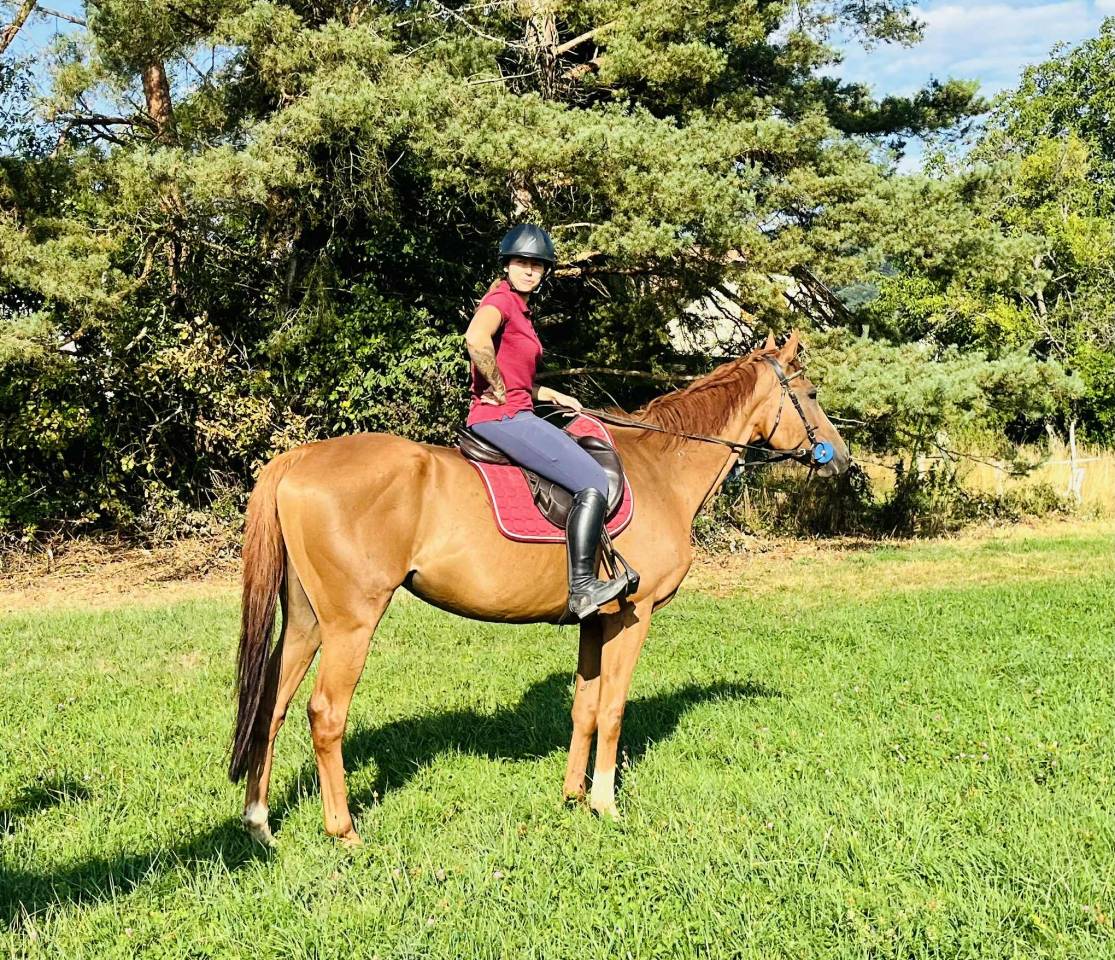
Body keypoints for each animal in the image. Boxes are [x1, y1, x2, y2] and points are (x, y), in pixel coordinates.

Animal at [229, 331, 850, 845]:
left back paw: (260, 824)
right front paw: (604, 804)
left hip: (307, 621)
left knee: (273, 706)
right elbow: (613, 709)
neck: (661, 471)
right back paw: (344, 831)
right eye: (812, 392)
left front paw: (573, 795)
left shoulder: (597, 619)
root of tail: (297, 459)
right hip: (352, 622)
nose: (842, 458)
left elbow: (585, 706)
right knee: (325, 713)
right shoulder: (634, 615)